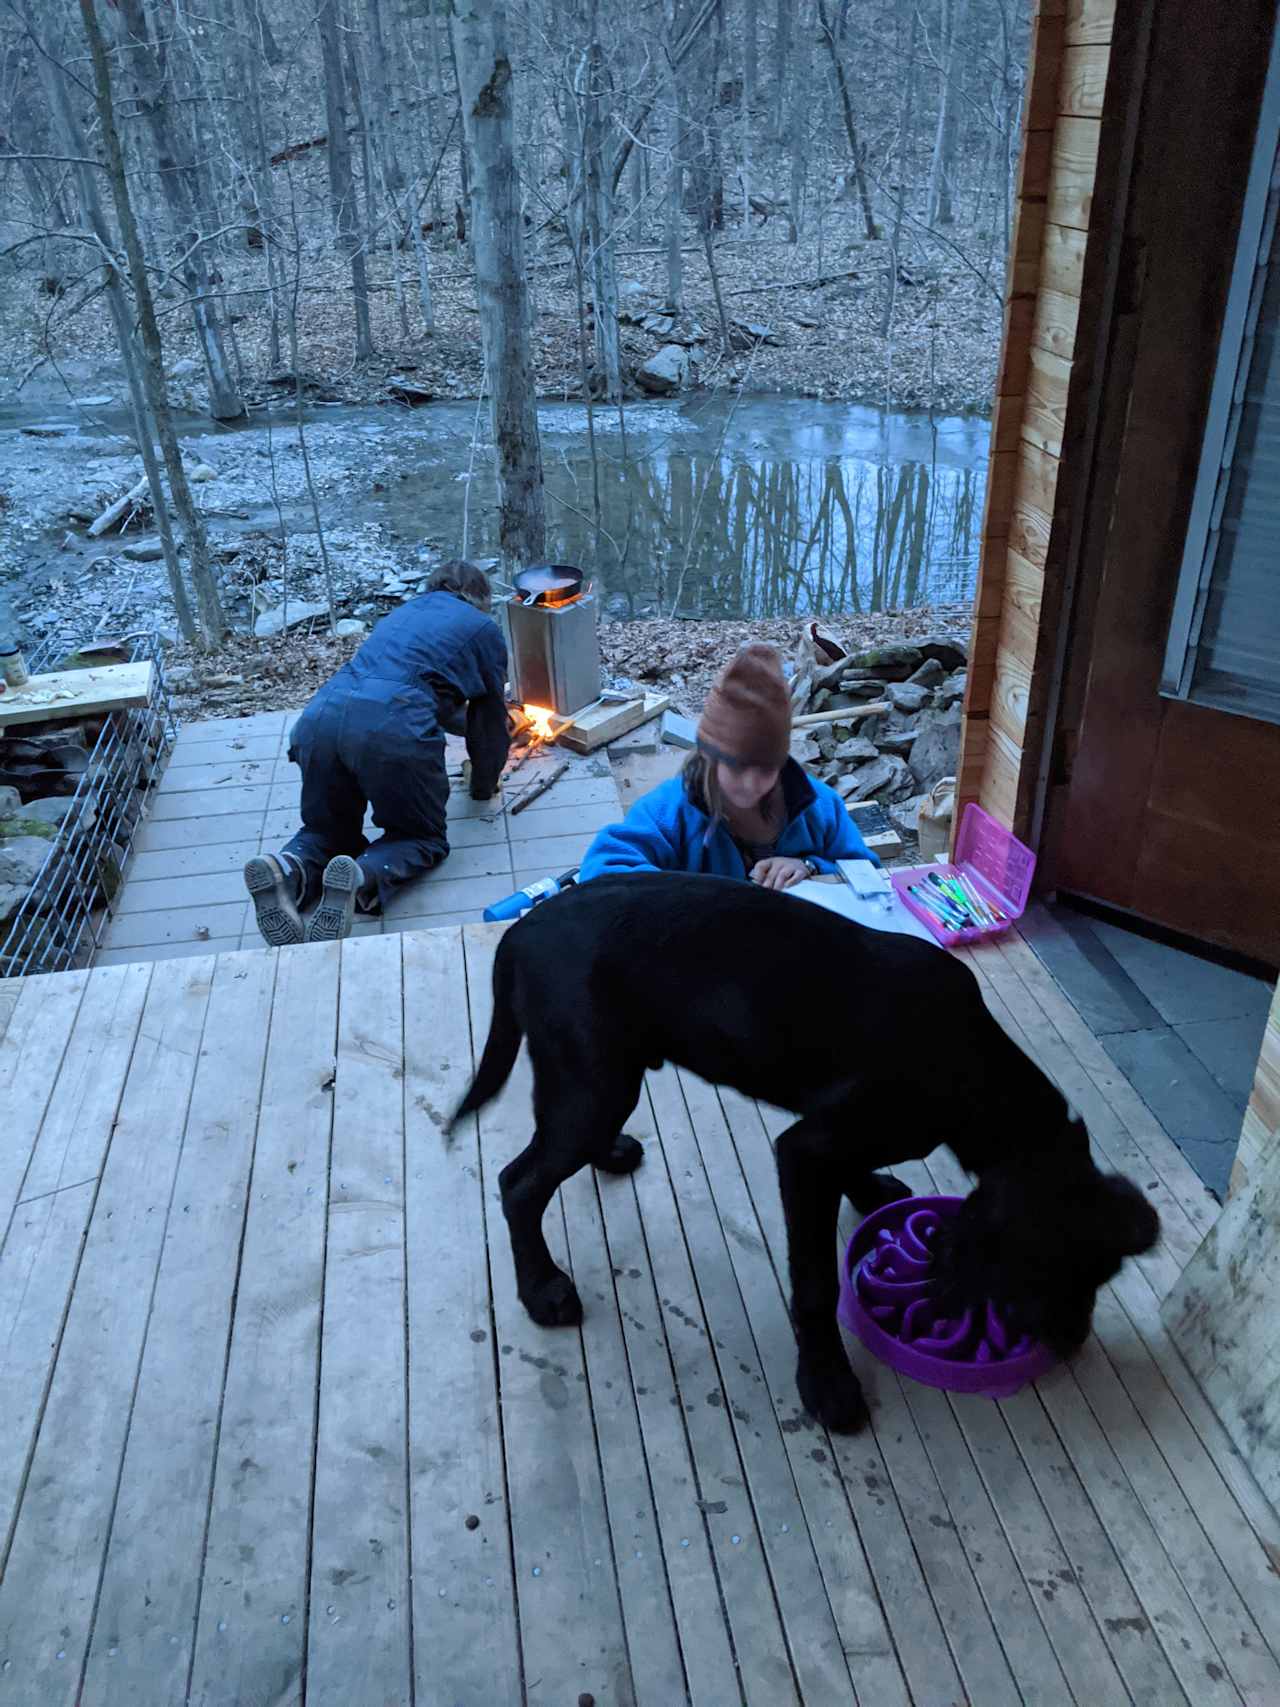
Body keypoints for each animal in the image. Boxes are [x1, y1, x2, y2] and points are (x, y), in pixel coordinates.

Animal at [450, 873, 1160, 1433]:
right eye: (1050, 1269)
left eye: (1102, 1276)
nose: (1073, 1342)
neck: (975, 1069)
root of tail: (521, 932)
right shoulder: (807, 1153)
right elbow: (816, 1285)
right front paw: (827, 1383)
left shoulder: (828, 1138)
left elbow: (854, 1173)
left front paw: (874, 1191)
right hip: (593, 1079)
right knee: (519, 1183)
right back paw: (542, 1289)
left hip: (601, 1076)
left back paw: (611, 1154)